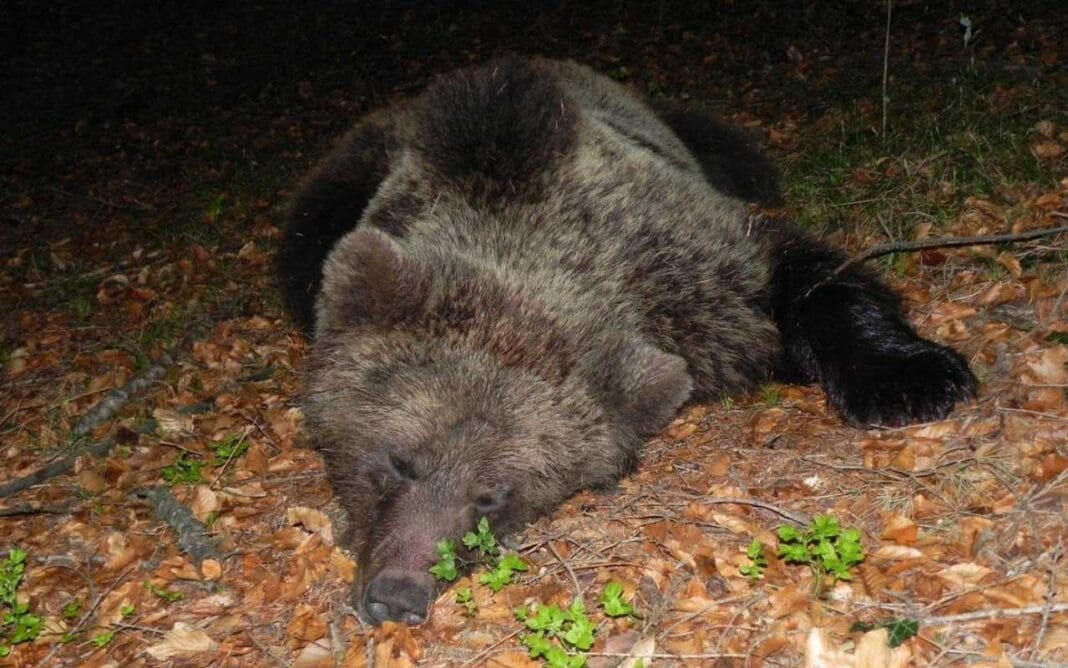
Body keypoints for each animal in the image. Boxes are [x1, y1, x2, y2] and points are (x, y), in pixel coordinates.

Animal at [276, 57, 977, 625]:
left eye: (491, 495)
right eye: (398, 461)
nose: (397, 596)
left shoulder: (682, 264)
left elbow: (802, 273)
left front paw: (911, 379)